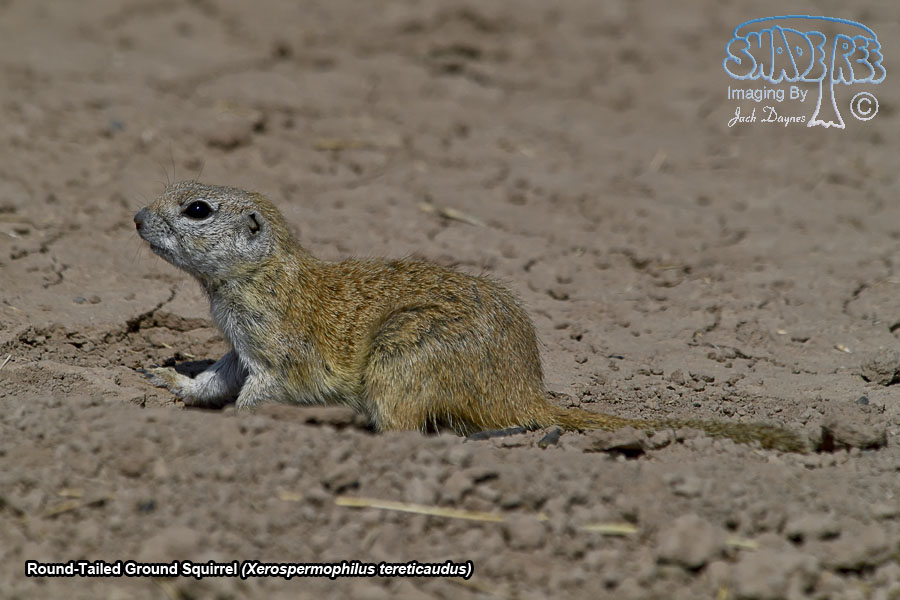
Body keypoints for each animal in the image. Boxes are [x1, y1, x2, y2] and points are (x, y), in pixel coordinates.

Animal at [133, 181, 806, 452]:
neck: (257, 275)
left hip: (403, 355)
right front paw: (170, 379)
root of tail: (524, 392)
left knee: (407, 429)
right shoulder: (238, 344)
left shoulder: (278, 350)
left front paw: (234, 425)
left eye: (197, 209)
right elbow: (219, 378)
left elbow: (260, 392)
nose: (136, 216)